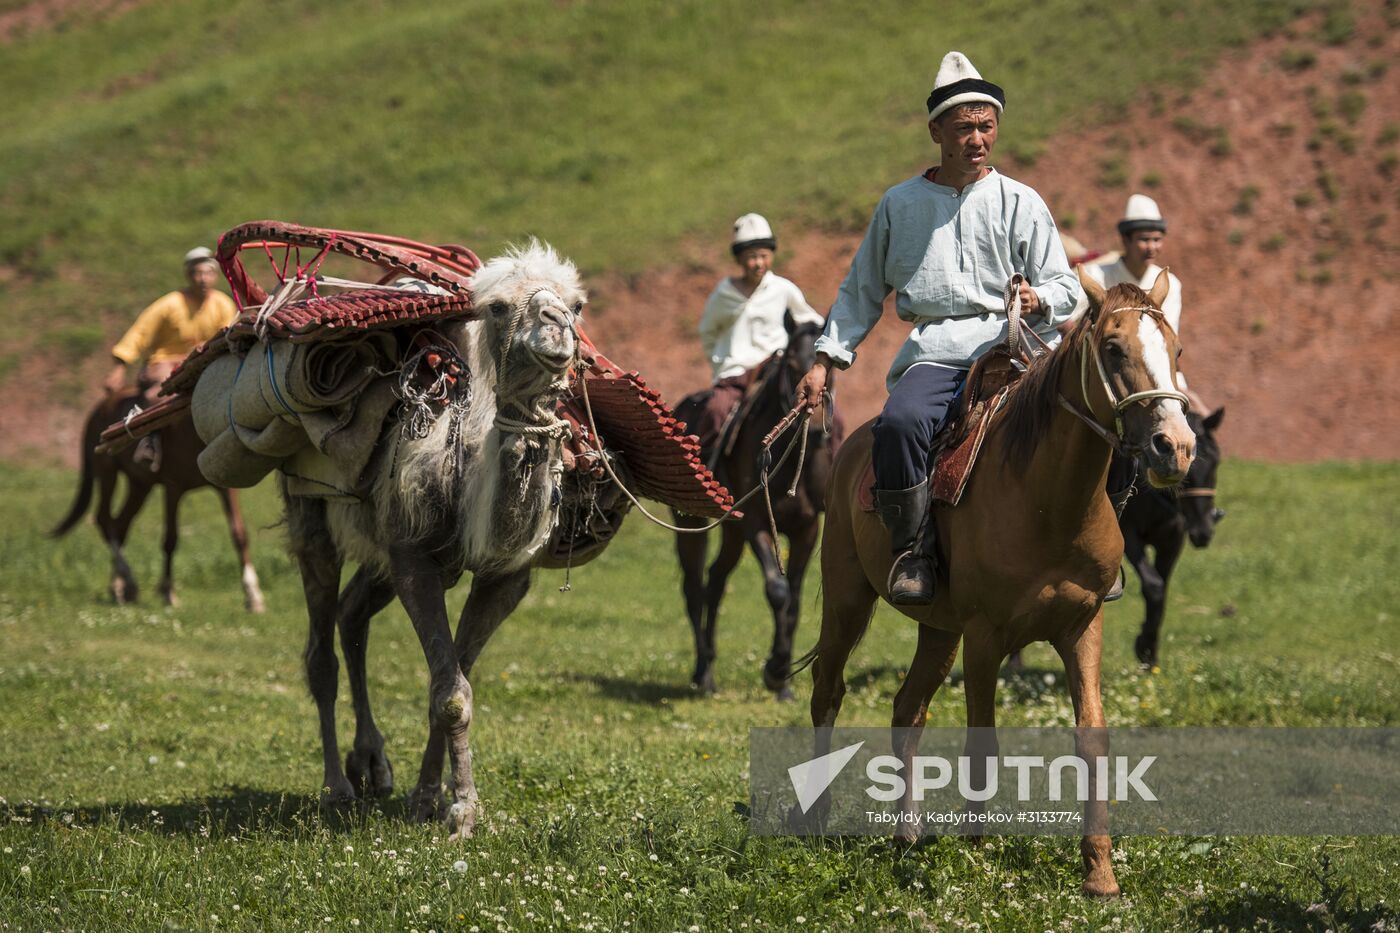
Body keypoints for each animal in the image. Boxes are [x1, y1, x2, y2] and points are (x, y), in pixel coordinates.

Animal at [50, 389, 264, 610]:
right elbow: (170, 539)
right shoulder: (173, 487)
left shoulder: (226, 488)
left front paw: (252, 595)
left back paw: (120, 587)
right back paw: (128, 582)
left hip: (140, 485)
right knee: (104, 520)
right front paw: (168, 592)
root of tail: (102, 405)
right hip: (108, 472)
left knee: (120, 525)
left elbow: (239, 535)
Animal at [672, 316, 834, 694]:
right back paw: (702, 674)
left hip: (731, 532)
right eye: (791, 364)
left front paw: (784, 682)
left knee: (716, 580)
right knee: (694, 589)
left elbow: (794, 600)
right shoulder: (757, 522)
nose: (817, 432)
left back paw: (710, 667)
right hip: (691, 526)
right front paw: (774, 670)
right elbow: (778, 591)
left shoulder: (807, 528)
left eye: (827, 371)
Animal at [800, 268, 1192, 896]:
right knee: (827, 692)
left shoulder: (1082, 627)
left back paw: (907, 836)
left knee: (907, 711)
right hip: (846, 601)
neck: (1048, 503)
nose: (1174, 447)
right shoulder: (985, 637)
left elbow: (1092, 737)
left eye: (1175, 351)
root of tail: (852, 447)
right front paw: (976, 850)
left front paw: (1100, 873)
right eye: (1113, 348)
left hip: (938, 629)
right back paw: (813, 816)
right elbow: (982, 740)